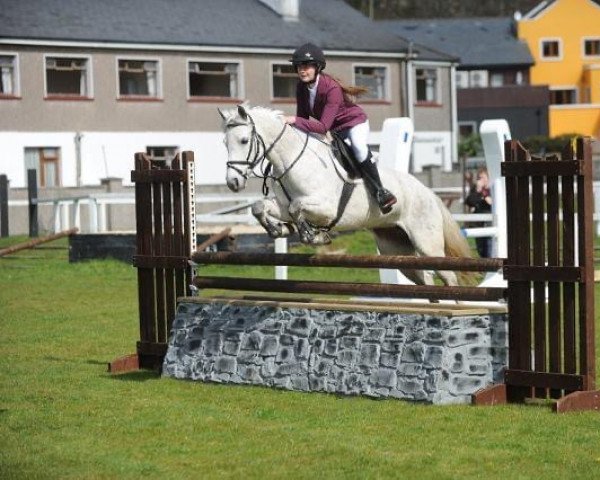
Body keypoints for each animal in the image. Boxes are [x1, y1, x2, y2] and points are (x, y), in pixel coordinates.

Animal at [218, 104, 472, 284]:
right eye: (224, 143)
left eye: (244, 140)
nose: (233, 182)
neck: (291, 162)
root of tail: (428, 192)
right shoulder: (281, 206)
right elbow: (260, 207)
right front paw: (277, 229)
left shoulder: (326, 208)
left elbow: (296, 207)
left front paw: (314, 236)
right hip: (397, 248)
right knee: (425, 277)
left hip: (427, 242)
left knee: (448, 276)